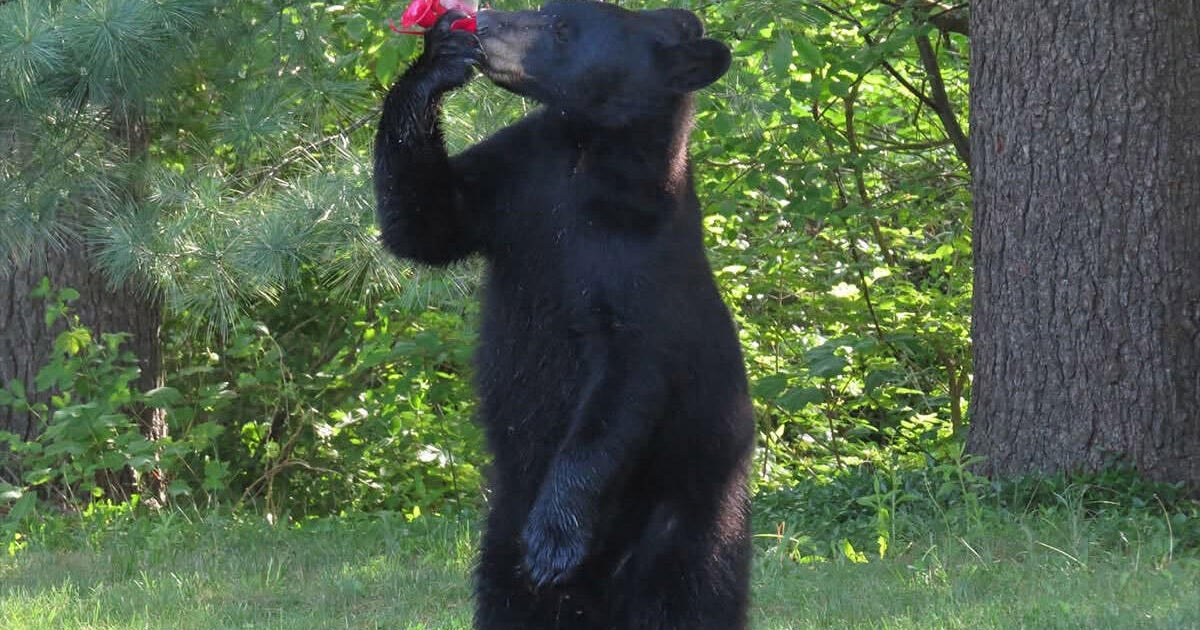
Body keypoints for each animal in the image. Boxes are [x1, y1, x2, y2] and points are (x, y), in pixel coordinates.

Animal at [373, 2, 754, 629]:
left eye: (560, 28)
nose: (487, 22)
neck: (588, 156)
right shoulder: (517, 178)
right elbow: (427, 223)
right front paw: (439, 57)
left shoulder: (642, 268)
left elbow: (623, 385)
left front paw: (555, 537)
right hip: (501, 527)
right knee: (506, 597)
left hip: (692, 508)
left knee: (688, 595)